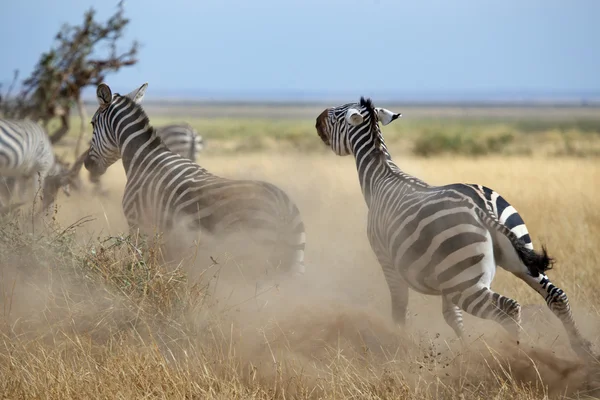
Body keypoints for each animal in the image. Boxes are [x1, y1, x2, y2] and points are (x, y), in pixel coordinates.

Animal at [82, 83, 308, 278]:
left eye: (92, 124)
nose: (87, 164)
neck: (143, 159)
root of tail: (282, 205)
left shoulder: (139, 225)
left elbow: (141, 266)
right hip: (293, 260)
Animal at [314, 96, 592, 356]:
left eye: (337, 114)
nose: (316, 120)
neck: (381, 177)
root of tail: (480, 205)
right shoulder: (445, 277)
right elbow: (452, 317)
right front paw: (465, 353)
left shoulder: (387, 260)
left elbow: (400, 307)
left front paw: (398, 344)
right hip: (512, 259)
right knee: (556, 295)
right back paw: (582, 350)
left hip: (466, 282)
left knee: (509, 308)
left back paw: (521, 356)